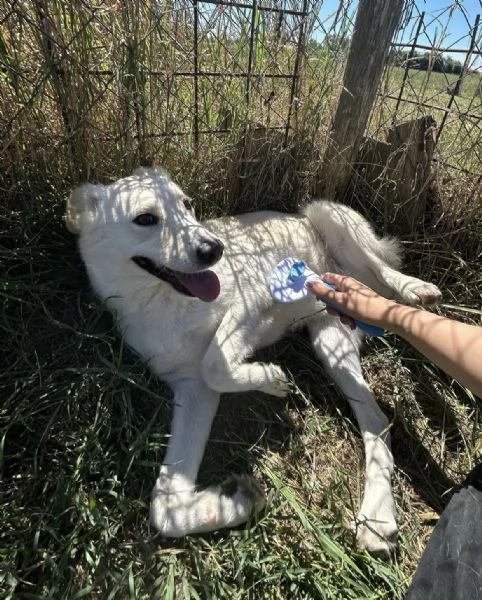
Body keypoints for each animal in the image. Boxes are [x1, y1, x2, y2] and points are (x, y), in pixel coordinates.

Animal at [66, 166, 442, 556]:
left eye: (187, 204)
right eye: (145, 219)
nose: (214, 248)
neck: (163, 302)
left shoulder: (253, 300)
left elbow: (215, 363)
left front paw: (271, 379)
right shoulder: (193, 389)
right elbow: (164, 509)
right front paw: (236, 501)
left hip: (327, 214)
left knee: (383, 270)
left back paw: (414, 290)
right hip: (330, 342)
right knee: (376, 422)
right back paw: (377, 521)